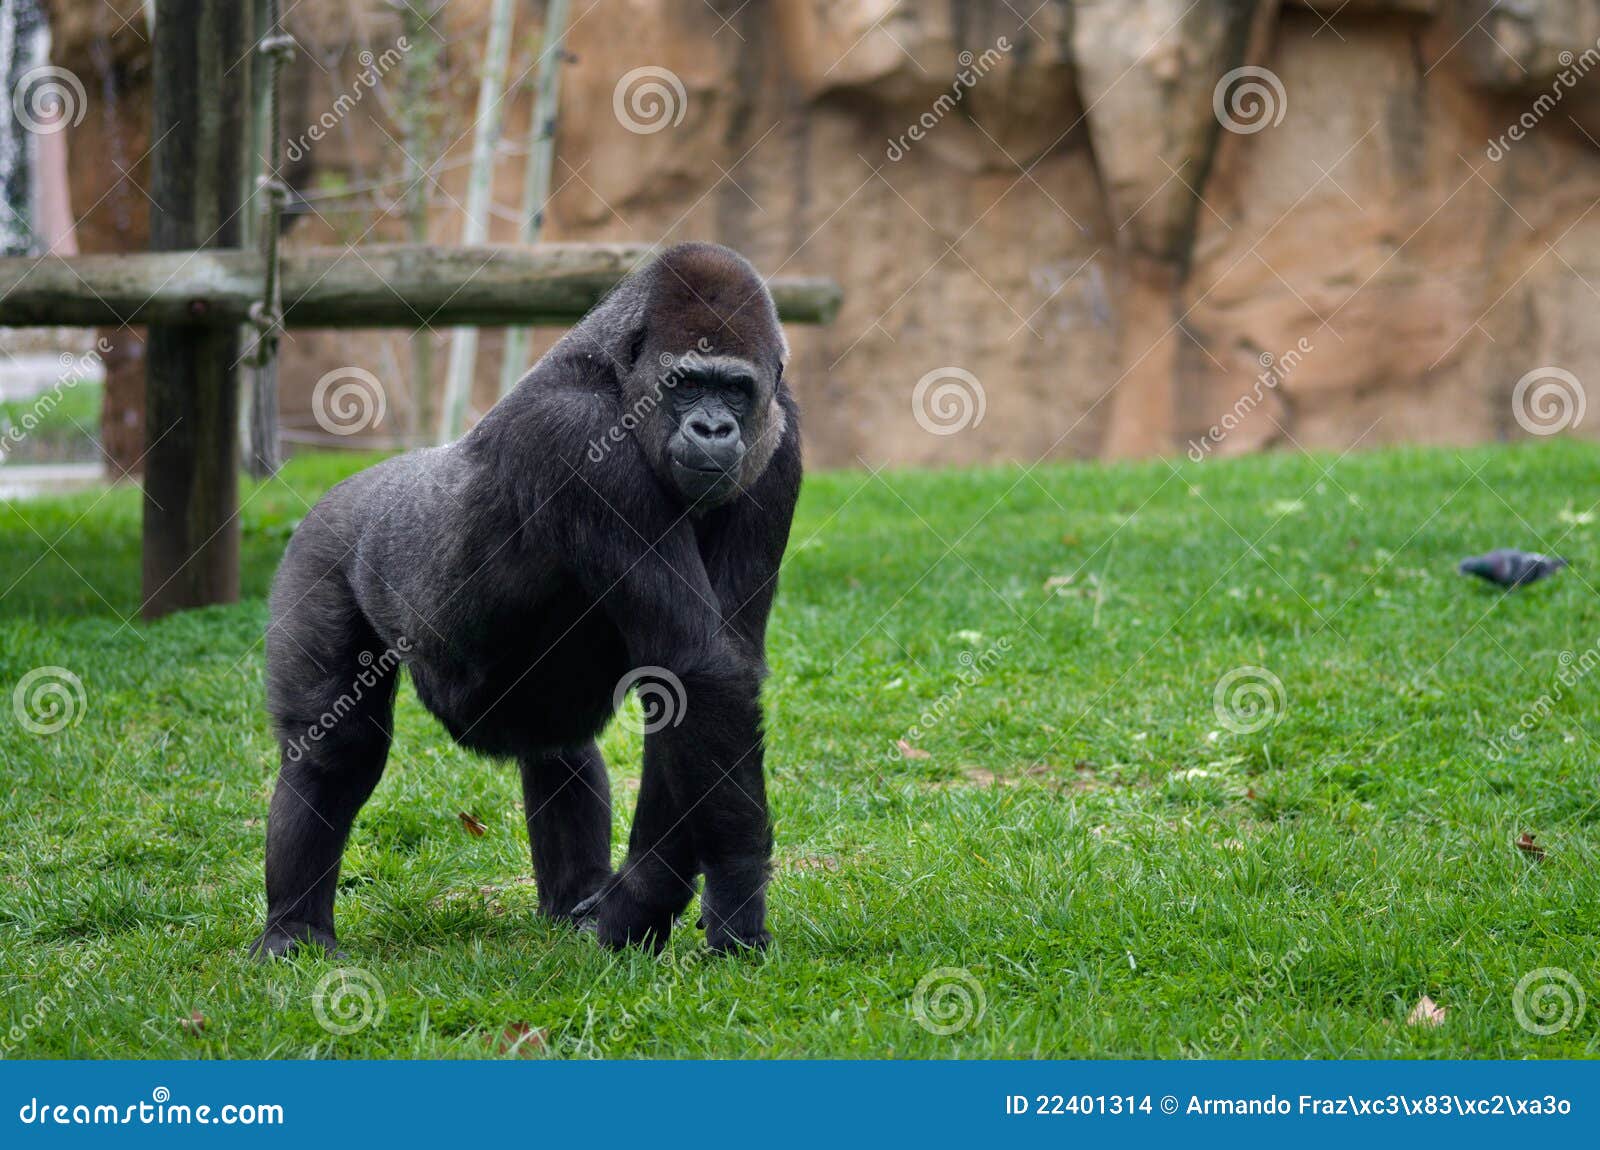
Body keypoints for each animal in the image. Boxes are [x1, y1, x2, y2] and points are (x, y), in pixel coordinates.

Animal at [251, 242, 801, 958]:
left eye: (735, 388)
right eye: (685, 382)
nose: (714, 427)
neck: (617, 374)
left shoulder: (781, 443)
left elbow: (699, 680)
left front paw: (643, 898)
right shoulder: (579, 437)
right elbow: (698, 668)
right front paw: (731, 892)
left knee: (559, 746)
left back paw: (575, 899)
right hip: (321, 550)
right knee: (334, 749)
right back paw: (294, 927)